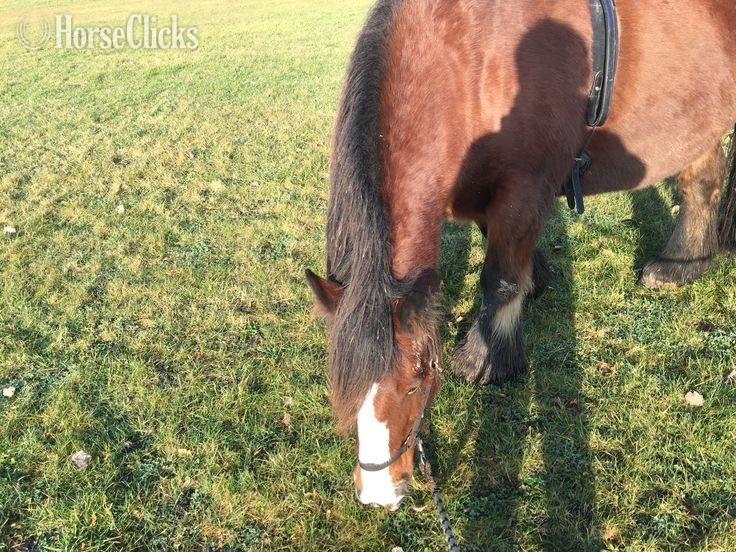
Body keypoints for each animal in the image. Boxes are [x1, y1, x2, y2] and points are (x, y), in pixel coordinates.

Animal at [306, 0, 736, 510]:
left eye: (415, 381)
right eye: (343, 389)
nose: (378, 493)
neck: (470, 56)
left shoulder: (521, 192)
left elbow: (500, 278)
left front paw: (486, 358)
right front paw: (538, 280)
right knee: (702, 179)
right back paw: (681, 264)